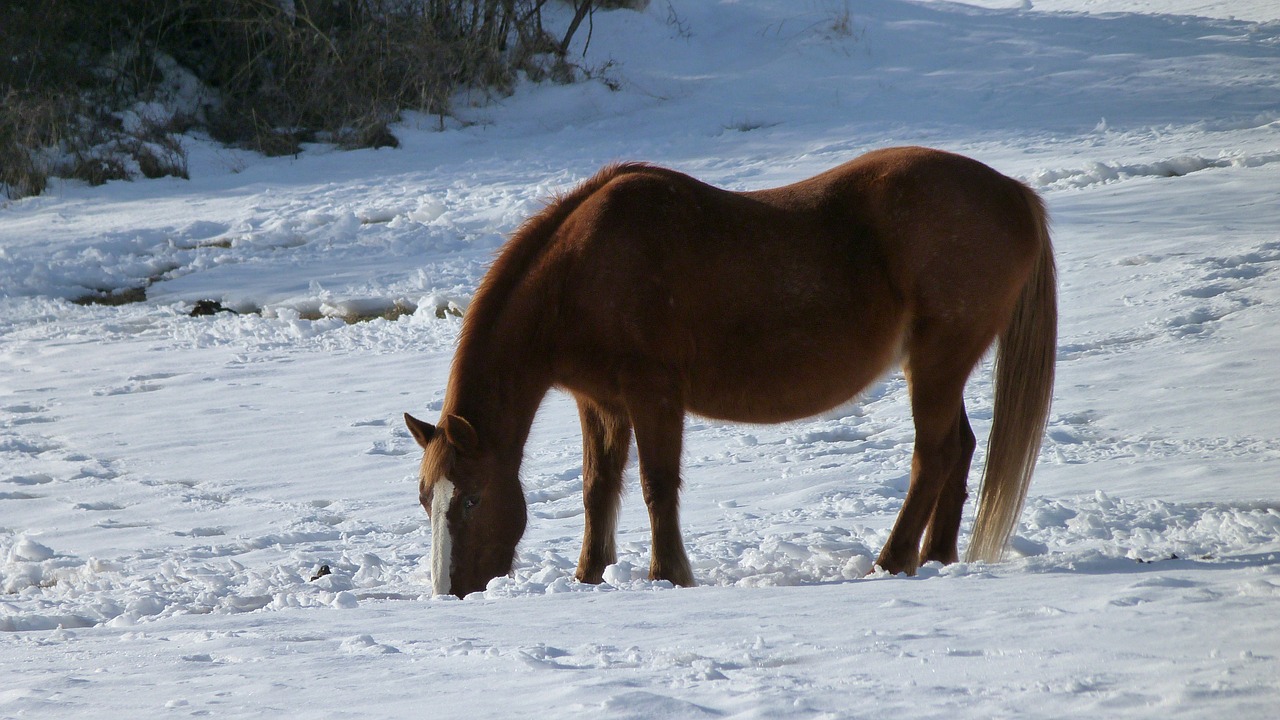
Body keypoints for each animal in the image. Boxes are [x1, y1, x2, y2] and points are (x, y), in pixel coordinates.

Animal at [404, 146, 1054, 594]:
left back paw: (891, 562)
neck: (583, 271)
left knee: (933, 457)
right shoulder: (601, 402)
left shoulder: (654, 394)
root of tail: (1013, 193)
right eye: (425, 499)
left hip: (939, 362)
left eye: (471, 499)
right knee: (960, 449)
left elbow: (656, 485)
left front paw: (669, 574)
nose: (451, 592)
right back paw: (938, 558)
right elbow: (598, 489)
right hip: (941, 365)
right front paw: (591, 576)